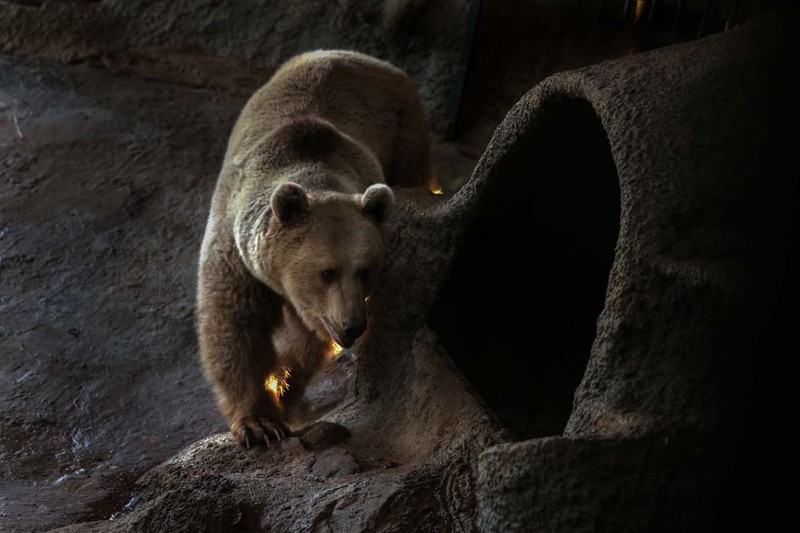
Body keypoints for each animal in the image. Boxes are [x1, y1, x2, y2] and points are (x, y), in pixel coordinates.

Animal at [197, 51, 434, 448]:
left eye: (365, 270)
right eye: (327, 271)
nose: (353, 325)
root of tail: (357, 55)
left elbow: (306, 344)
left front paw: (286, 394)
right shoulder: (236, 253)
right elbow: (234, 324)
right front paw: (259, 423)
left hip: (404, 131)